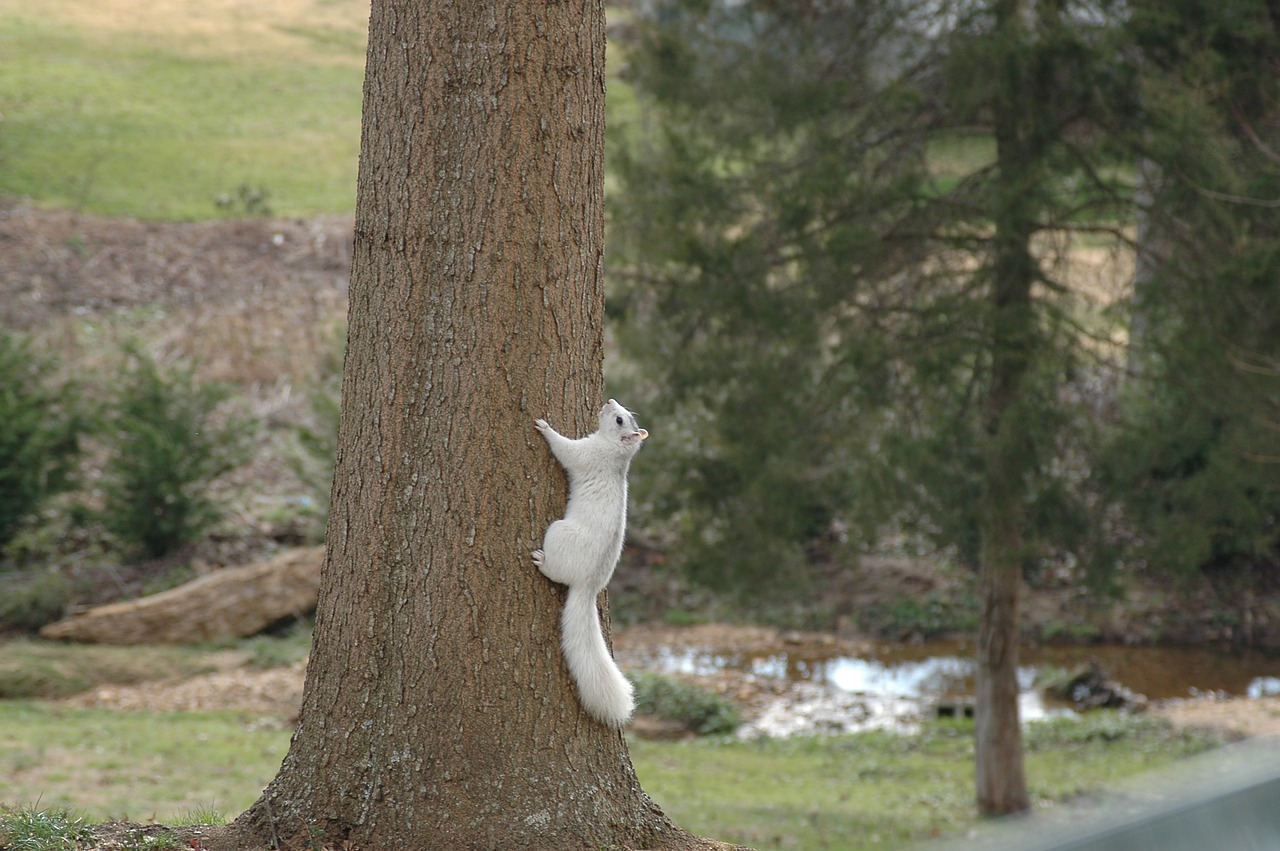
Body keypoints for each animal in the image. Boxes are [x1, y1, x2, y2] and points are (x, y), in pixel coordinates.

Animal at [532, 399, 650, 721]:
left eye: (620, 419)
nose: (609, 401)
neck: (615, 450)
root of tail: (588, 584)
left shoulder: (586, 455)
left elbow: (565, 450)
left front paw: (546, 428)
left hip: (558, 533)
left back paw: (542, 562)